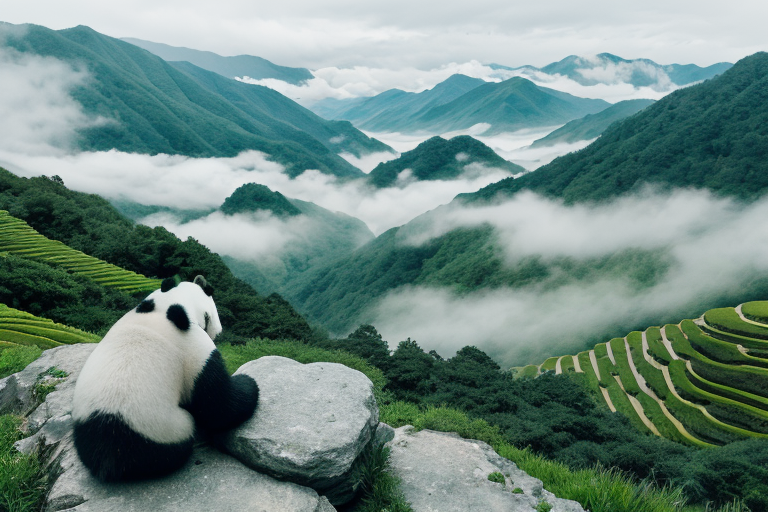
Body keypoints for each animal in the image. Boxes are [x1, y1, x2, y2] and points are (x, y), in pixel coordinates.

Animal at [71, 275, 259, 482]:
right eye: (209, 316)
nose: (218, 331)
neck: (165, 309)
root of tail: (107, 456)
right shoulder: (193, 349)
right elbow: (218, 406)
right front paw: (248, 381)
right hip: (162, 433)